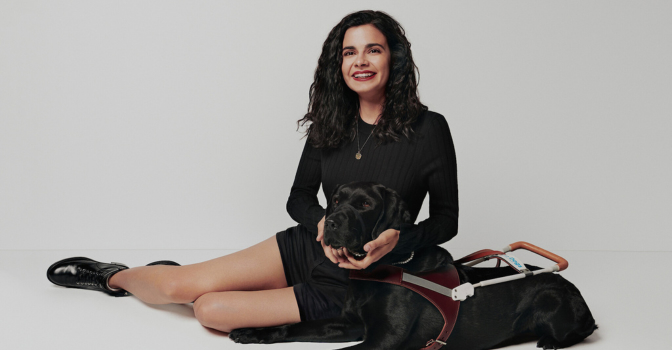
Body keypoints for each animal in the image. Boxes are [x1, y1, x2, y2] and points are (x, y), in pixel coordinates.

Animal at [230, 182, 592, 348]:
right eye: (335, 200)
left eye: (364, 204)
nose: (329, 223)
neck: (377, 271)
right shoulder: (348, 323)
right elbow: (294, 325)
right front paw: (252, 331)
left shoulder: (385, 338)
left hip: (551, 301)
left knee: (583, 330)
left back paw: (551, 340)